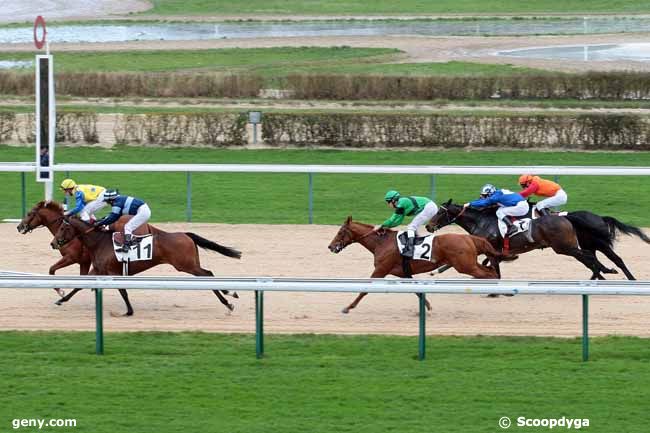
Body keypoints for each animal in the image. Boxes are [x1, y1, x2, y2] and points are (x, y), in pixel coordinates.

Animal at [51, 216, 240, 314]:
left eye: (63, 228)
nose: (53, 243)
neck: (99, 242)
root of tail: (185, 234)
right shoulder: (98, 270)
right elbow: (78, 286)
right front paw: (61, 299)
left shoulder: (113, 273)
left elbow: (123, 292)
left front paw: (129, 311)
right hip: (190, 264)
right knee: (208, 274)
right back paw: (229, 296)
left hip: (186, 265)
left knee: (208, 275)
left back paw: (228, 300)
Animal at [326, 218, 498, 312]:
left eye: (340, 232)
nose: (330, 246)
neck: (382, 242)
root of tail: (470, 238)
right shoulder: (403, 273)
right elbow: (416, 290)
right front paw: (427, 306)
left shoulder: (381, 270)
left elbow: (364, 289)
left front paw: (348, 307)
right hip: (470, 264)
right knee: (490, 271)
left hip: (465, 266)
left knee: (491, 274)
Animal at [422, 200, 604, 278]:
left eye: (440, 212)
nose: (428, 226)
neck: (481, 221)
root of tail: (565, 217)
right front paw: (435, 271)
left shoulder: (491, 249)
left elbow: (495, 269)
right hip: (566, 246)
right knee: (588, 256)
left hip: (564, 247)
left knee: (588, 257)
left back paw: (600, 274)